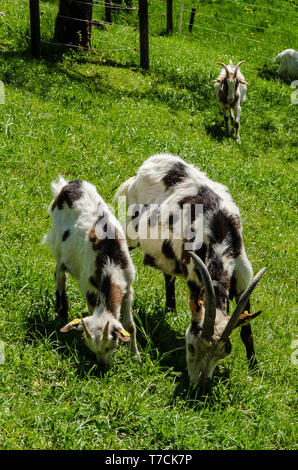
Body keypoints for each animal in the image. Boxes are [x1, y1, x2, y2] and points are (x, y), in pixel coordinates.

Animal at [43, 176, 139, 368]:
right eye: (92, 349)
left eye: (111, 345)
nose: (102, 366)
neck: (110, 263)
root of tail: (68, 185)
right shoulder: (89, 290)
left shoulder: (128, 288)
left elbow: (130, 325)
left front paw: (136, 355)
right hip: (58, 245)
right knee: (59, 274)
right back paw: (61, 309)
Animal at [115, 153, 266, 390]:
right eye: (191, 346)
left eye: (225, 352)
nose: (199, 386)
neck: (221, 235)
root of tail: (147, 165)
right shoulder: (195, 277)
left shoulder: (243, 280)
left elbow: (247, 330)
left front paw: (255, 368)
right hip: (131, 233)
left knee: (167, 273)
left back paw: (170, 308)